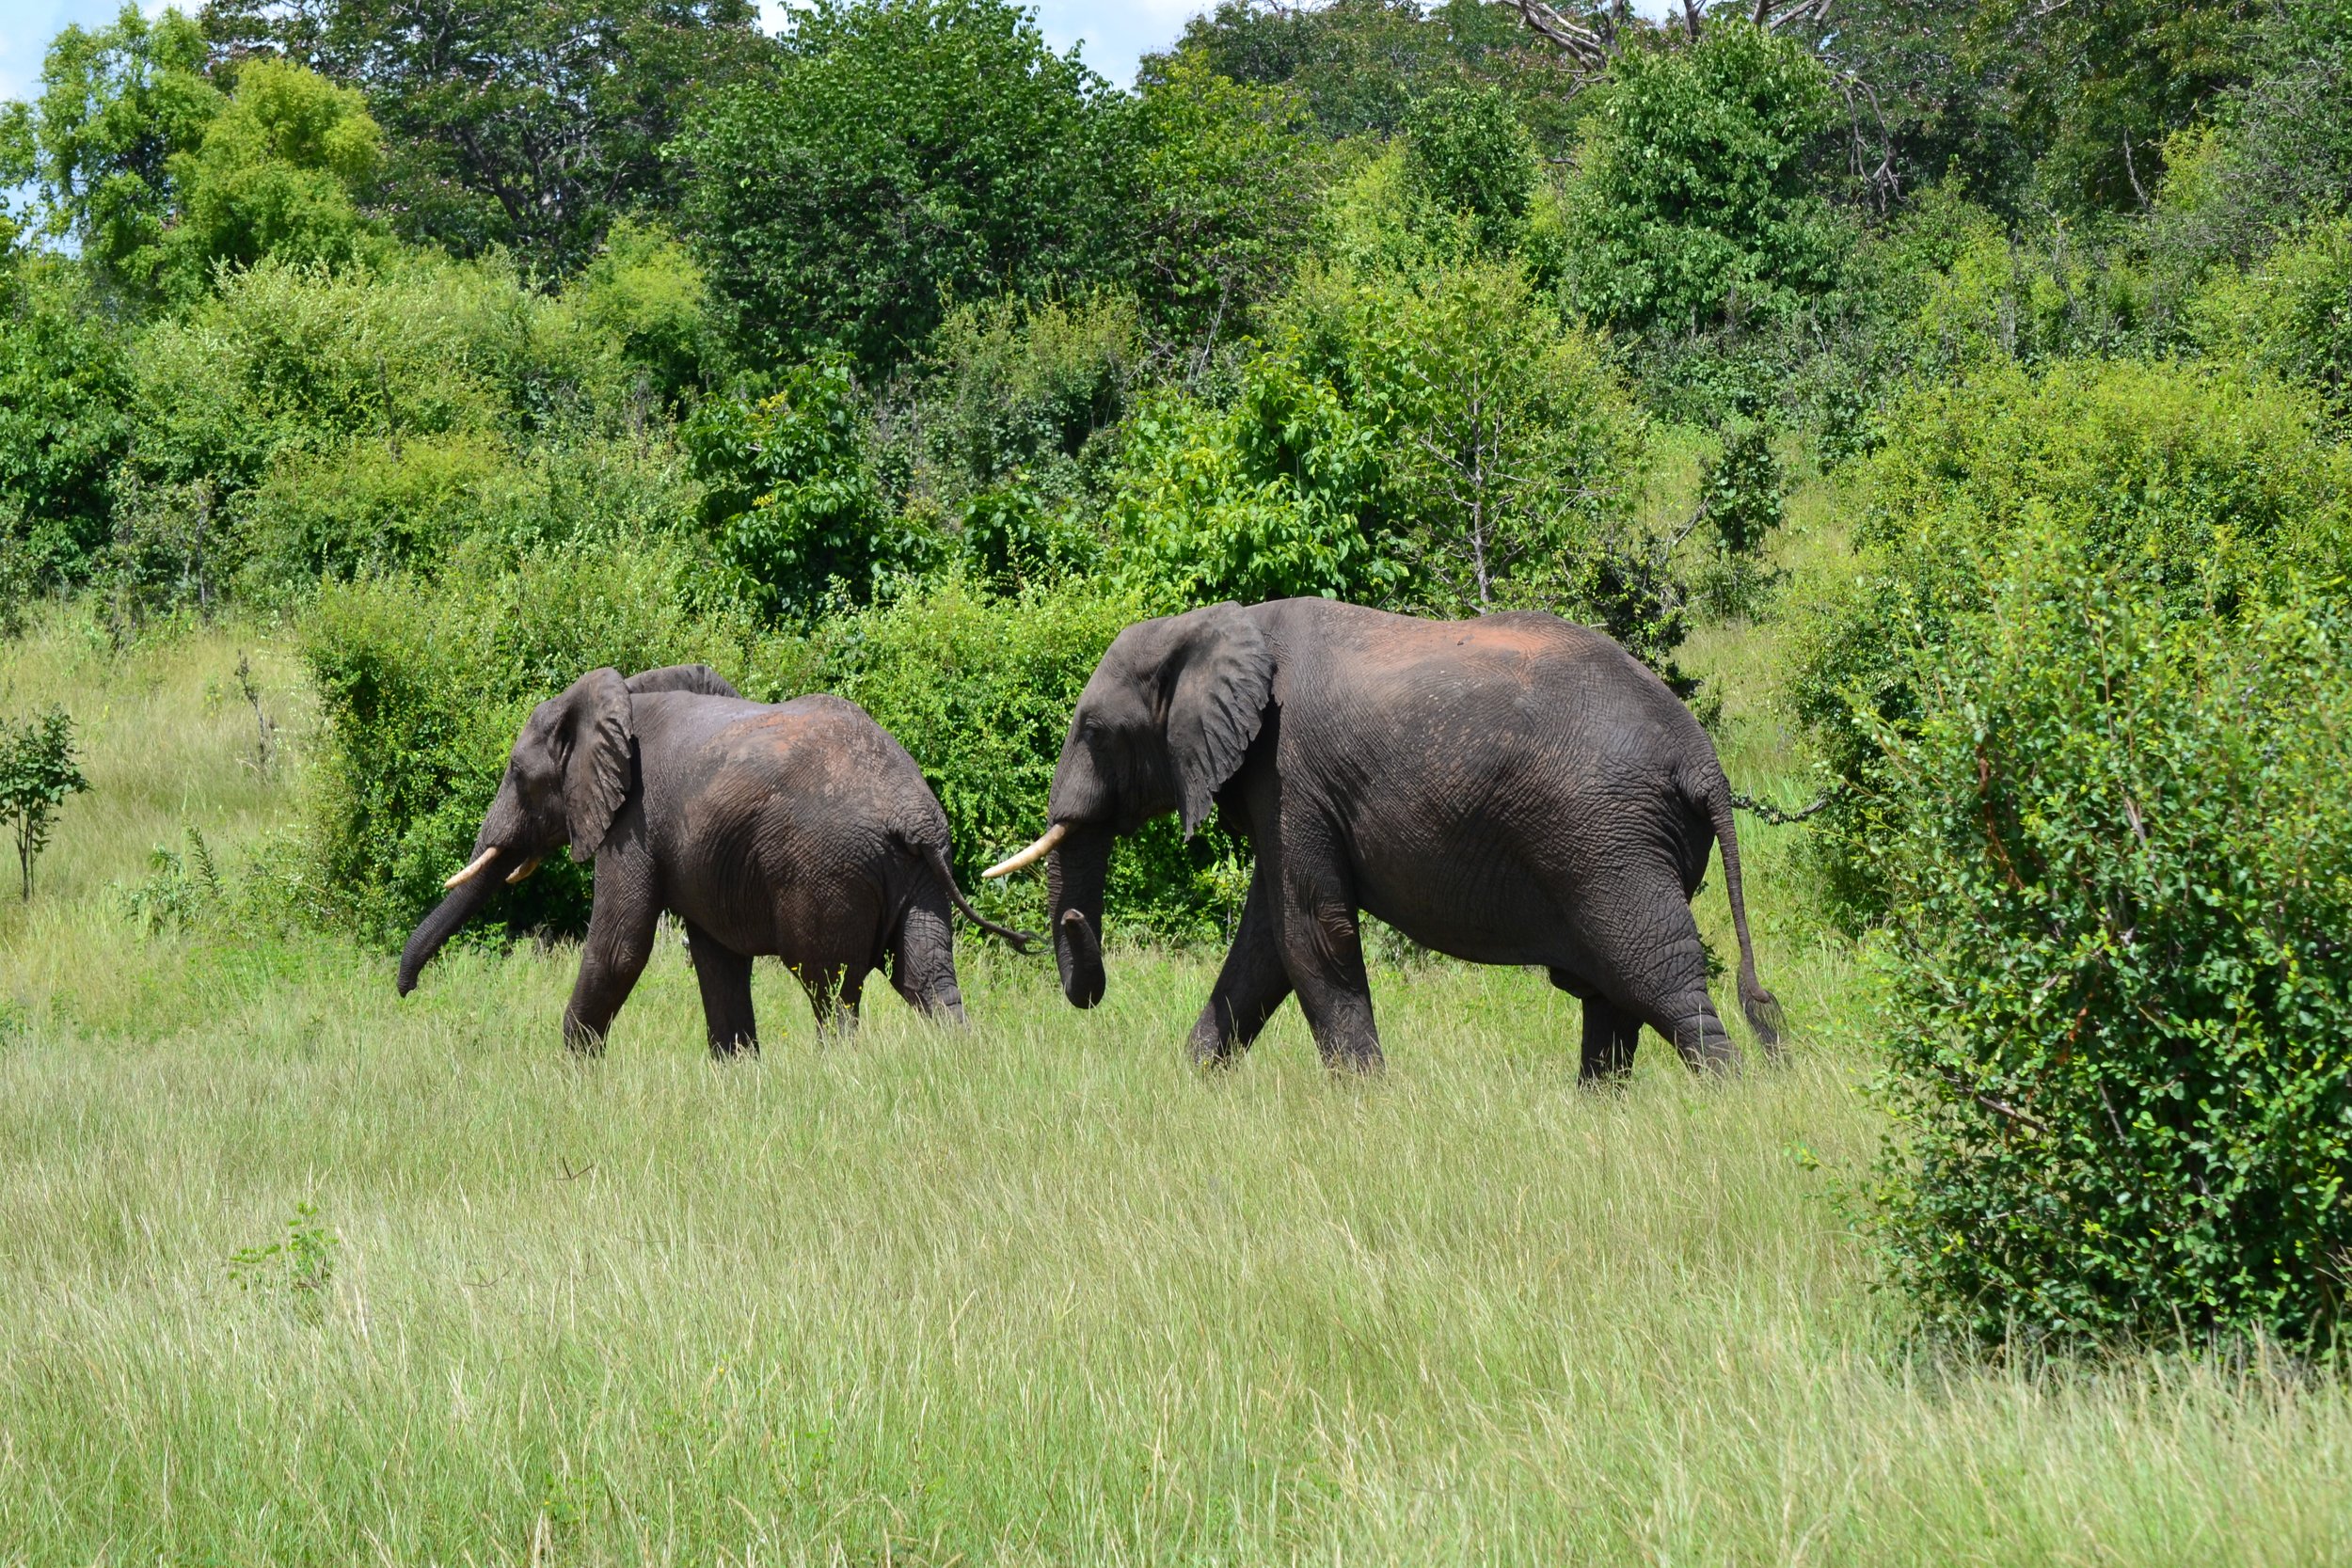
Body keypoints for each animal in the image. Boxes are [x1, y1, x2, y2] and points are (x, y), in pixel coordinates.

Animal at [397, 663, 1033, 1052]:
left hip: (830, 872)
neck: (621, 694)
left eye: (515, 773)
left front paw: (572, 1080)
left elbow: (620, 948)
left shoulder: (634, 821)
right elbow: (716, 958)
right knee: (926, 976)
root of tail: (913, 813)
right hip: (916, 872)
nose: (405, 993)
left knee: (830, 989)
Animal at [985, 599, 1780, 1077]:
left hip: (1609, 841)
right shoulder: (1282, 790)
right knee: (1614, 993)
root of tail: (1703, 760)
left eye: (1095, 731)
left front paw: (1365, 1105)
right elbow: (1264, 946)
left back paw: (1729, 1102)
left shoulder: (1290, 771)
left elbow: (1310, 933)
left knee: (1656, 975)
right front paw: (1191, 1084)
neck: (1215, 622)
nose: (1075, 924)